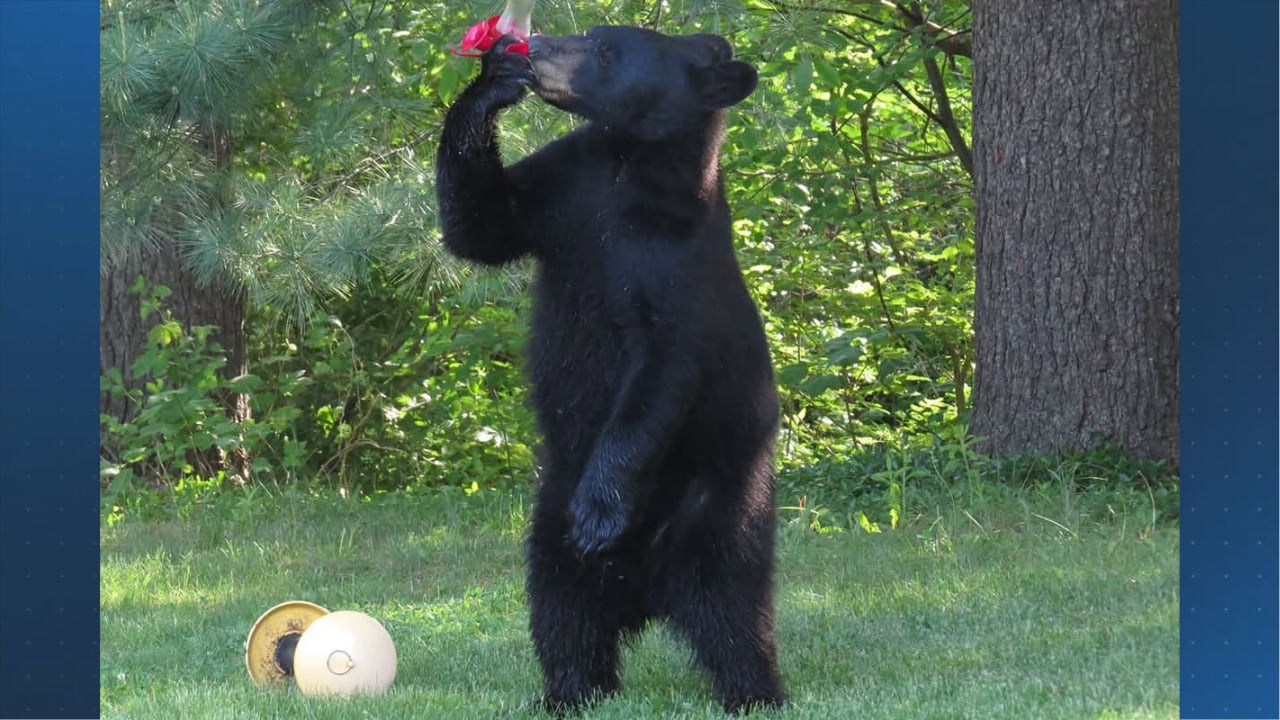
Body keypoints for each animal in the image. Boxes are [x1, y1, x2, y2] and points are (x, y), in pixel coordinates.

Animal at [434, 26, 785, 714]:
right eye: (594, 35)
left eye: (604, 50)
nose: (539, 48)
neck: (630, 170)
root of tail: (644, 589)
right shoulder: (566, 188)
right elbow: (484, 225)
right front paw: (493, 79)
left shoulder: (677, 271)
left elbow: (659, 376)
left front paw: (600, 510)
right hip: (549, 517)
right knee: (561, 607)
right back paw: (569, 691)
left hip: (720, 503)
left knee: (730, 604)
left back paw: (754, 691)